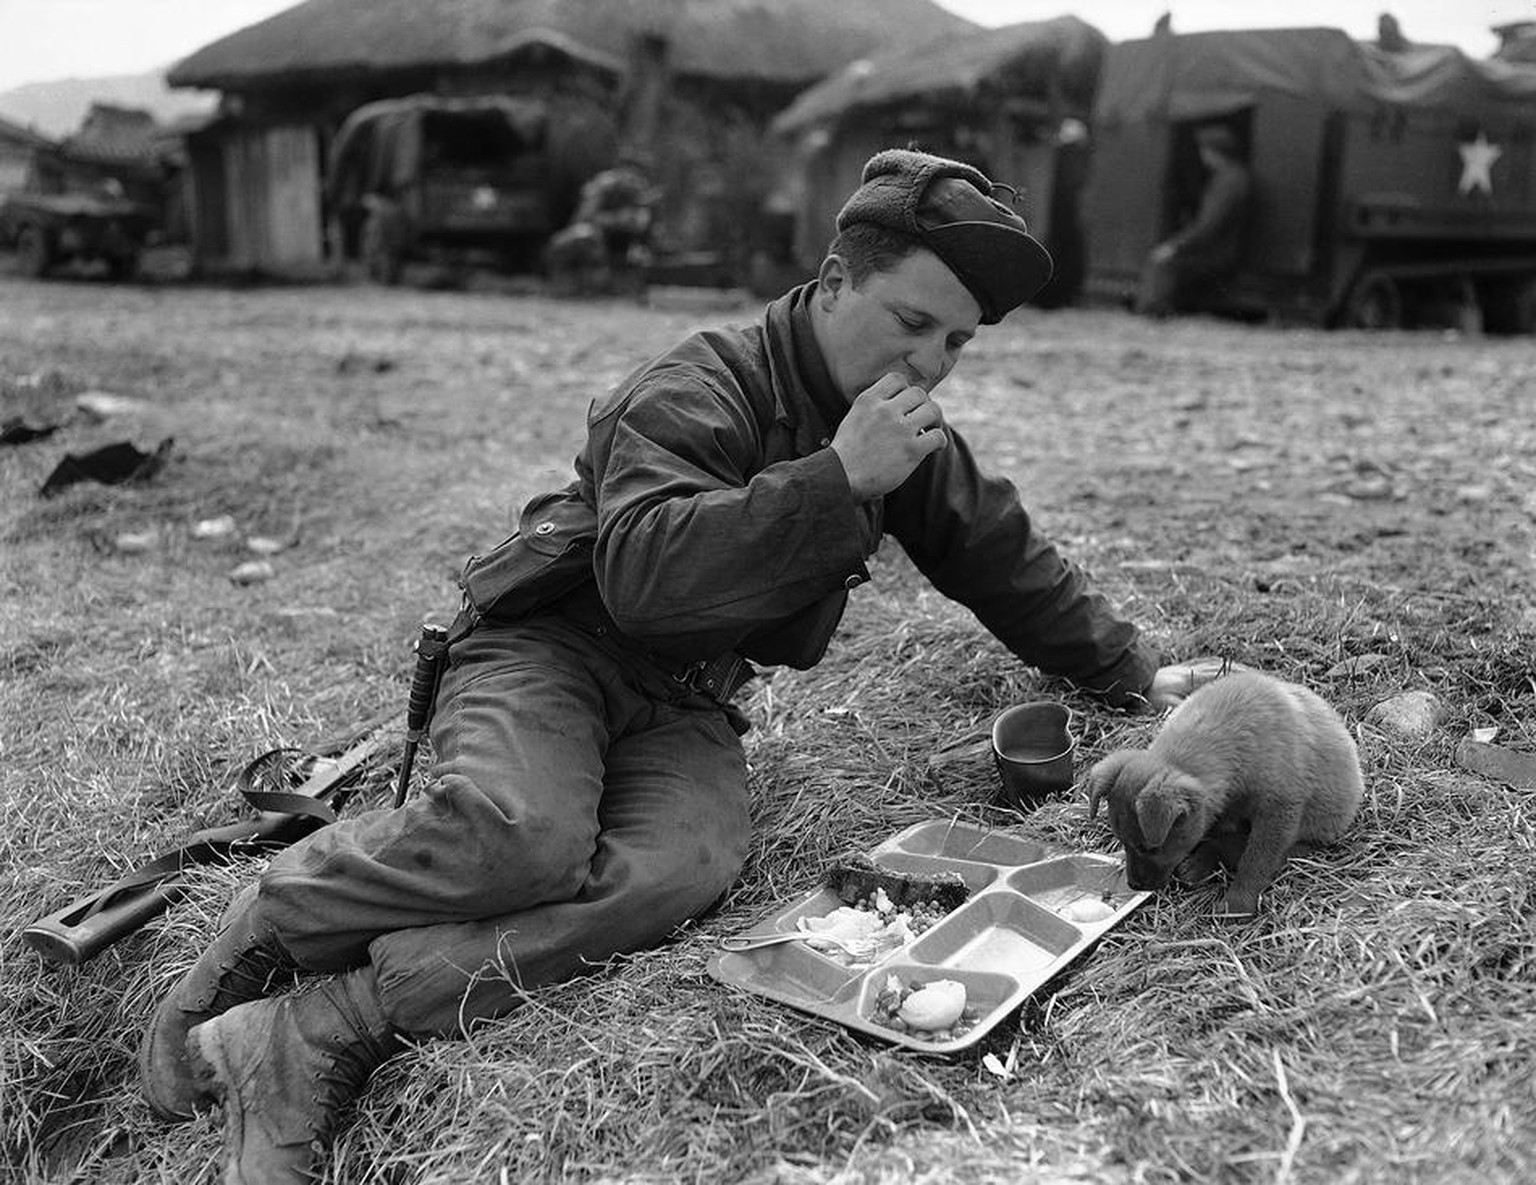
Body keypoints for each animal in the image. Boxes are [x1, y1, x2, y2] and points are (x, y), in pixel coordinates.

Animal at [1087, 673, 1363, 916]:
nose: (1133, 885)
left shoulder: (1279, 811)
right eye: (1123, 841)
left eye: (1151, 849)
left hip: (1318, 827)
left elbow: (1256, 860)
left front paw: (1238, 903)